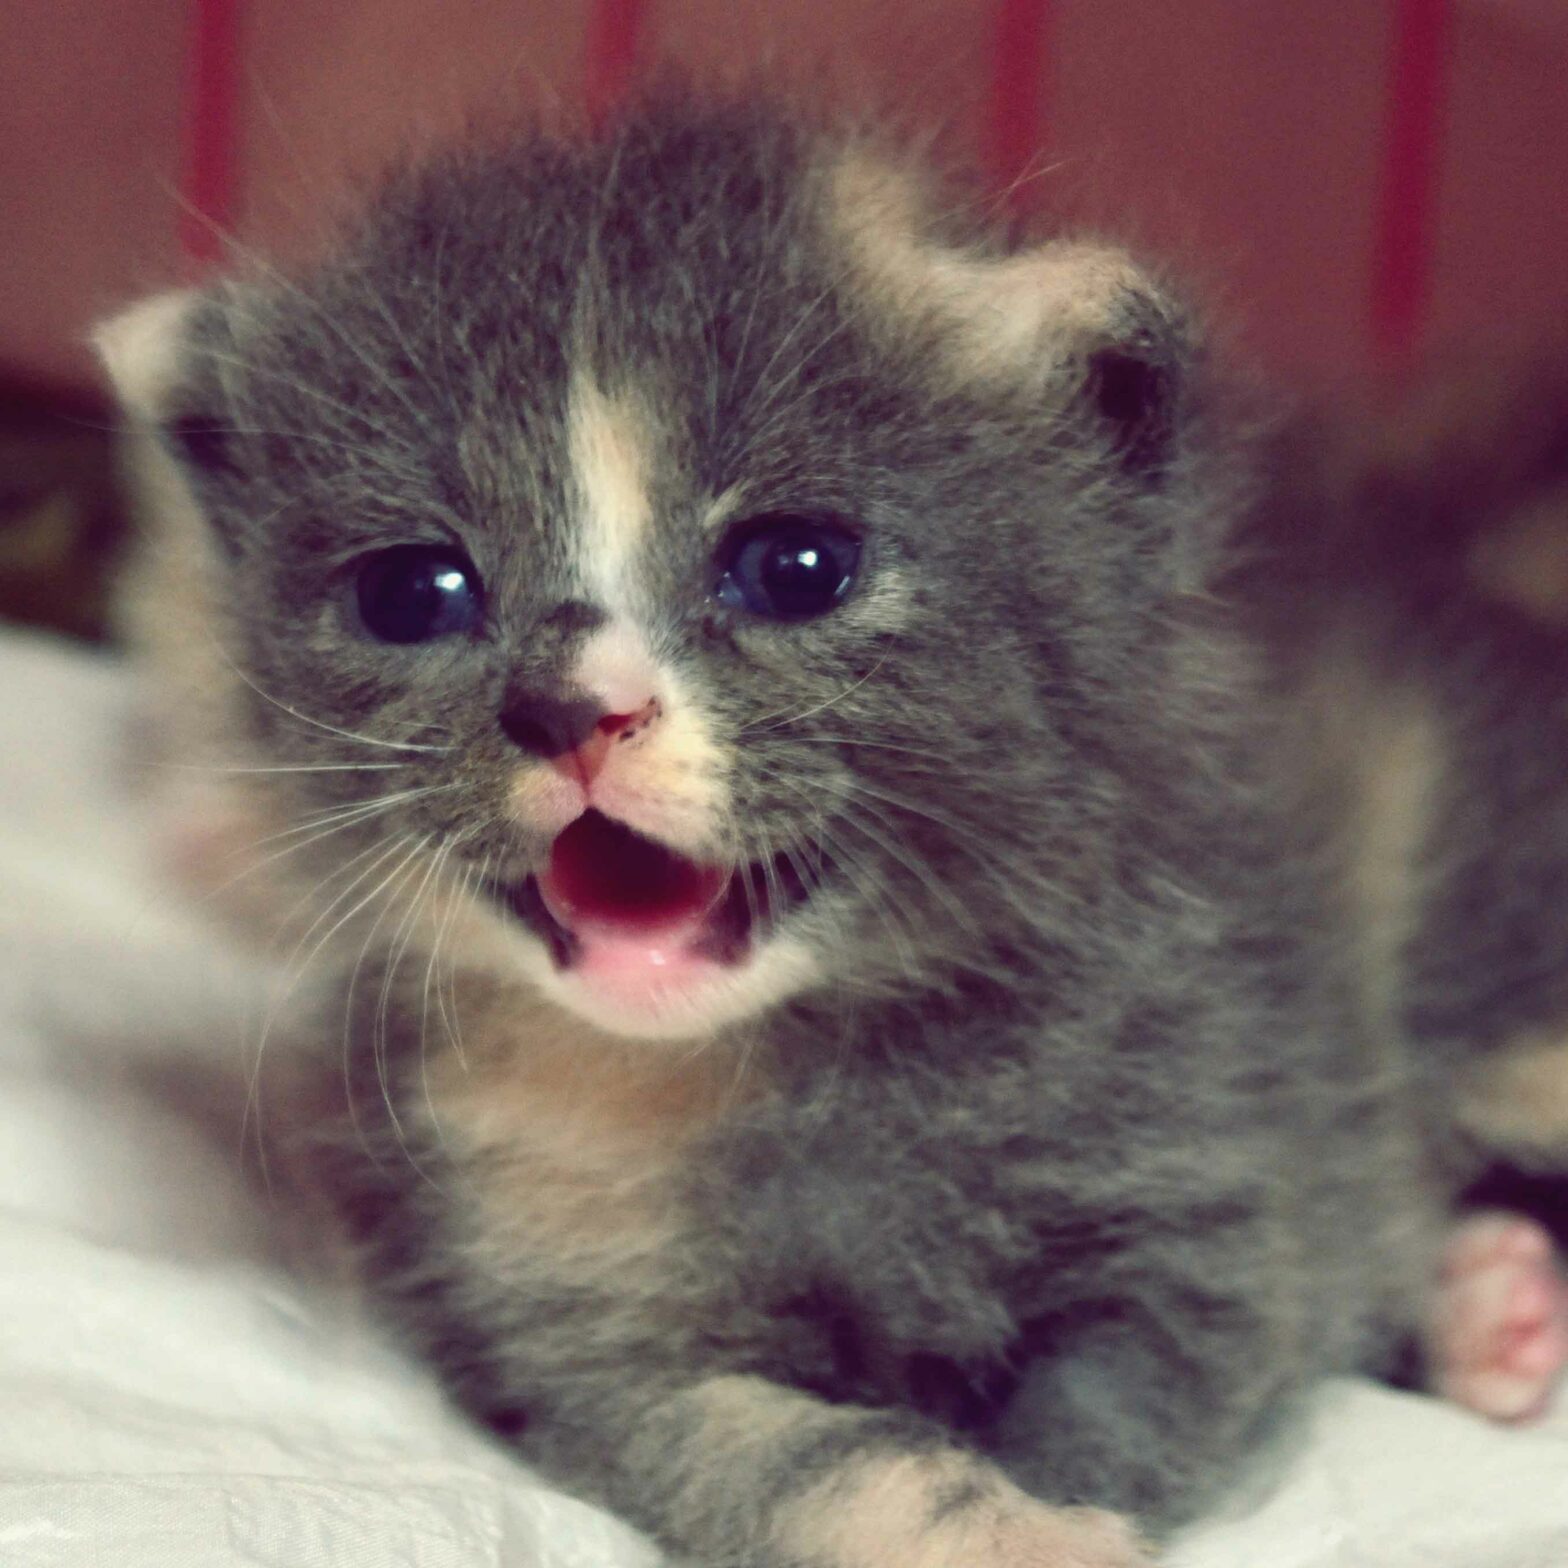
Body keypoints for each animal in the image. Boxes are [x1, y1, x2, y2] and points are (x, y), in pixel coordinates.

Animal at [98, 107, 1430, 1568]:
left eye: (796, 568)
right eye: (412, 592)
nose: (572, 708)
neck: (765, 1066)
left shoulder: (1213, 1161)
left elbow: (1139, 1377)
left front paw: (1054, 1510)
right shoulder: (583, 1325)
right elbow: (803, 1457)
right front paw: (989, 1526)